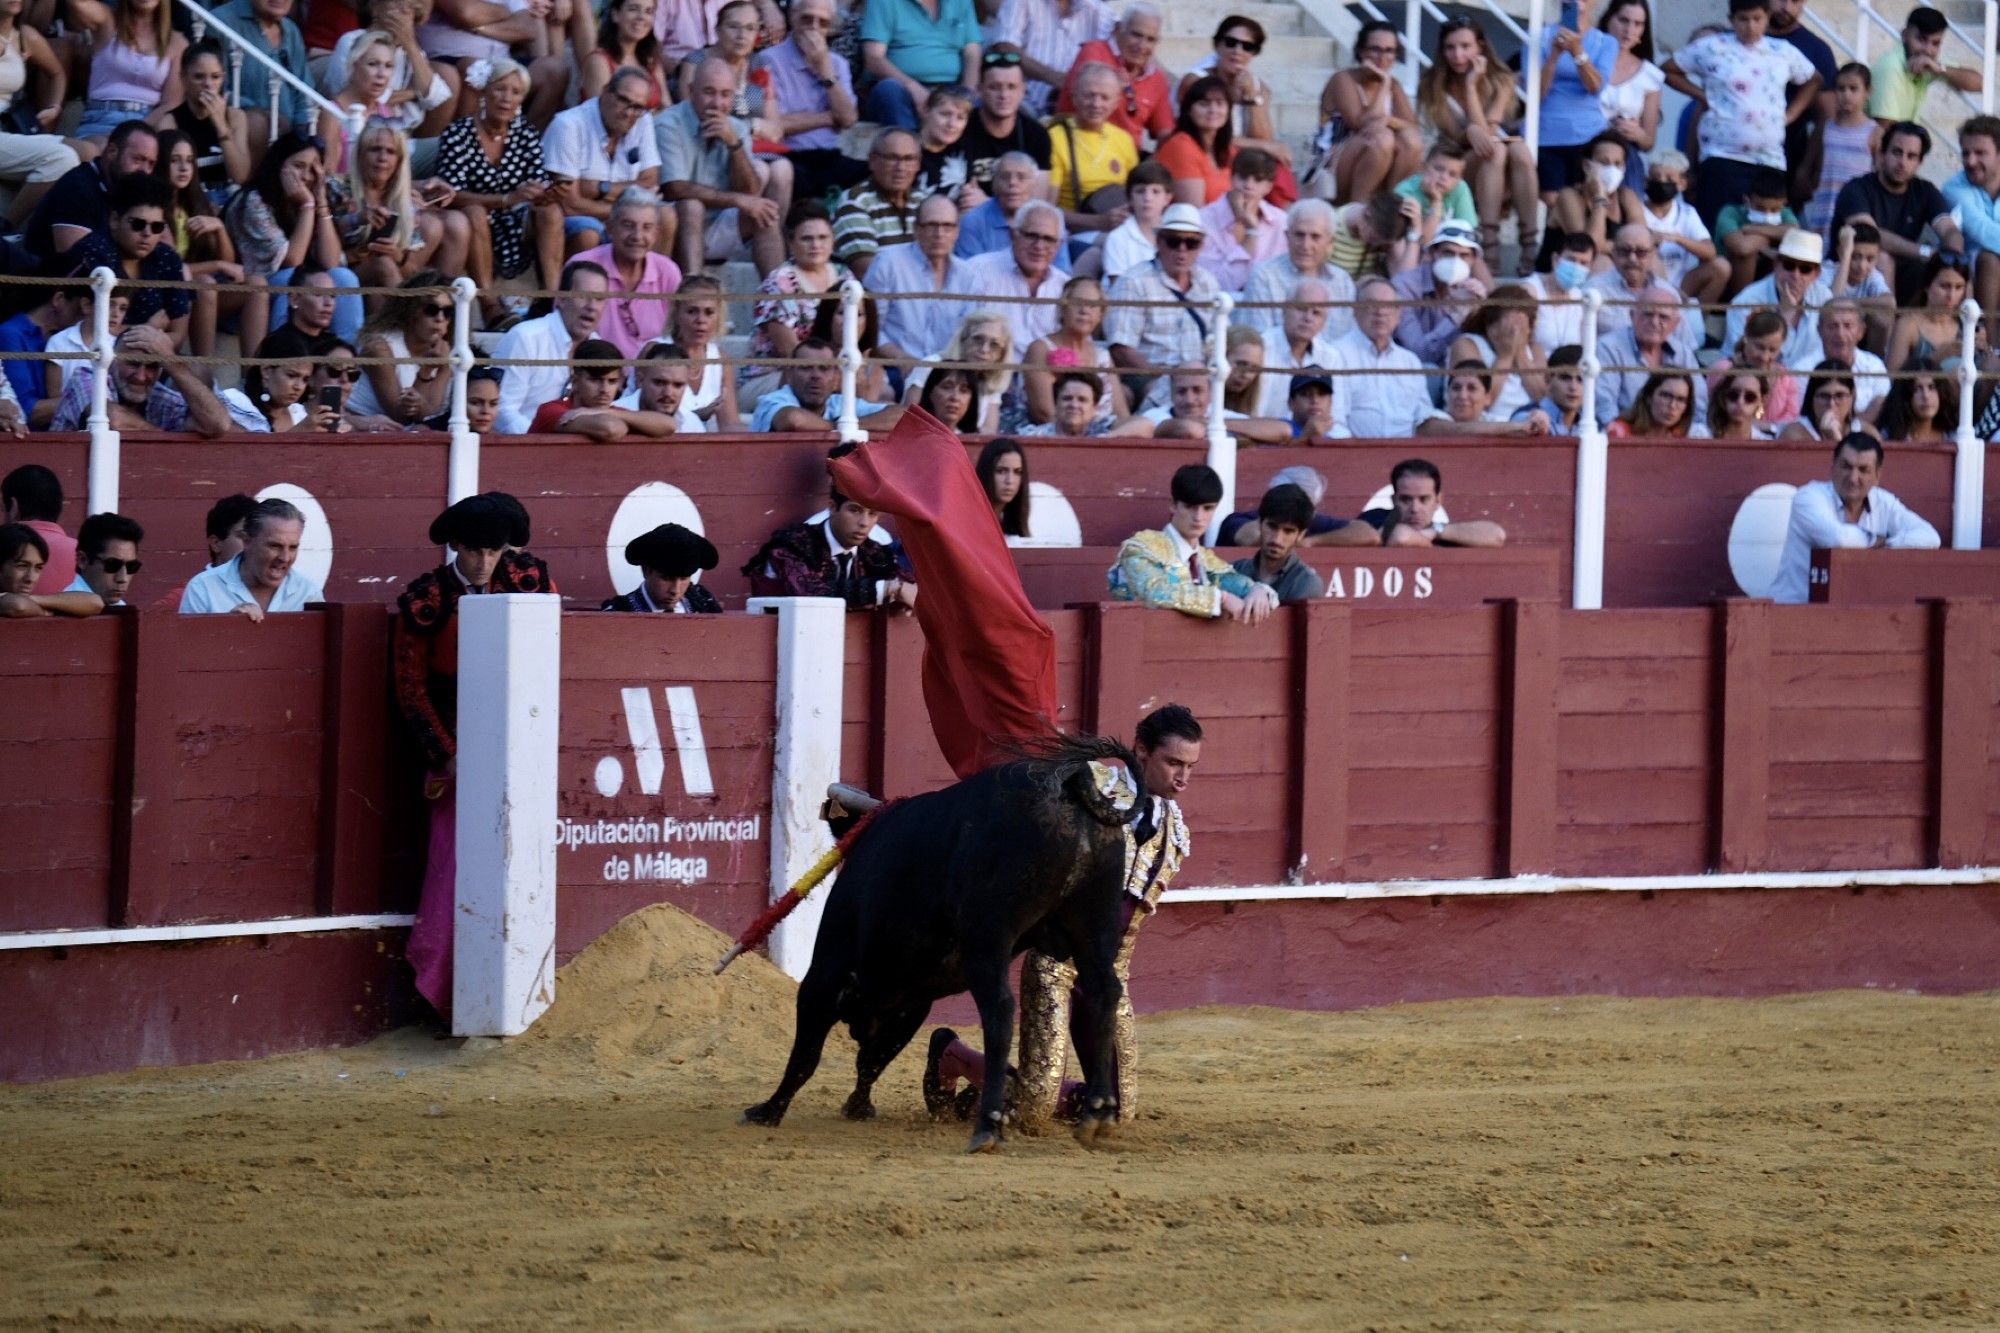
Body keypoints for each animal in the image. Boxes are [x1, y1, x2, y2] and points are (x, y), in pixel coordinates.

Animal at [744, 732, 1144, 1144]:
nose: (858, 1027)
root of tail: (1070, 787)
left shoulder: (827, 972)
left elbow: (807, 1054)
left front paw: (768, 1110)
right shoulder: (910, 1002)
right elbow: (873, 1059)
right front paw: (858, 1105)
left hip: (988, 936)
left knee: (1000, 1009)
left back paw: (989, 1124)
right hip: (1095, 923)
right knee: (1103, 992)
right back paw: (1098, 1111)